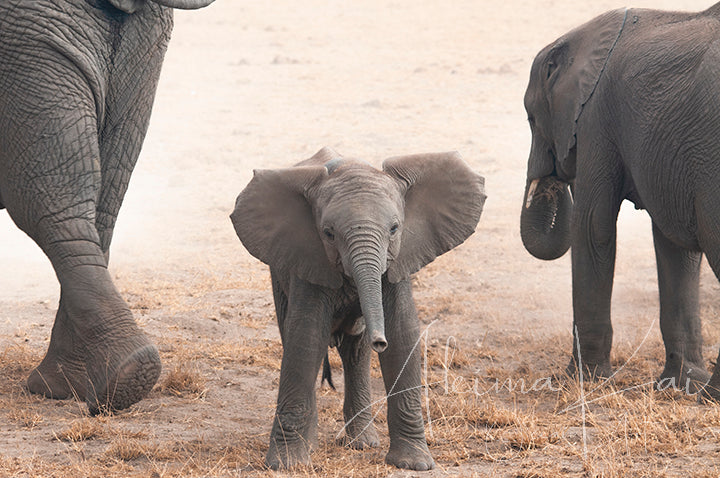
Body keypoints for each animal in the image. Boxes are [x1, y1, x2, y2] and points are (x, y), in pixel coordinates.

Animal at [232, 148, 484, 468]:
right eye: (328, 233)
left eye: (394, 229)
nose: (380, 340)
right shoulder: (309, 259)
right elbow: (306, 337)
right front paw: (288, 465)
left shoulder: (398, 261)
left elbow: (402, 333)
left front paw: (414, 463)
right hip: (279, 274)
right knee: (296, 336)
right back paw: (315, 443)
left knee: (355, 352)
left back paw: (362, 443)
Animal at [520, 4, 720, 400]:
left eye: (530, 117)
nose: (561, 165)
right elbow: (675, 247)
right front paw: (679, 386)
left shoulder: (595, 120)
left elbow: (591, 226)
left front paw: (582, 380)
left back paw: (712, 395)